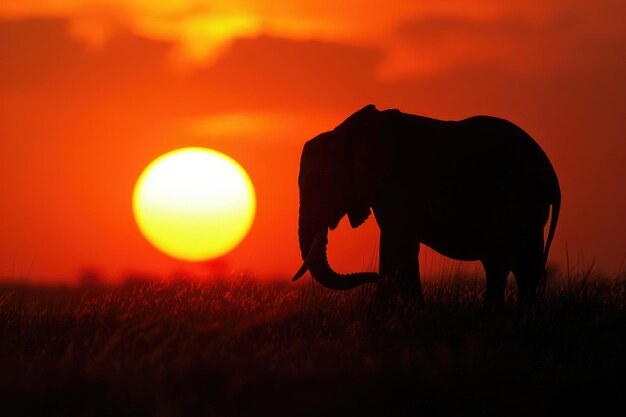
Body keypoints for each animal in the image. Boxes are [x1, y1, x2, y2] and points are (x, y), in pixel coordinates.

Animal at [292, 104, 560, 306]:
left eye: (319, 182)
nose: (373, 277)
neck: (348, 133)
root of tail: (551, 176)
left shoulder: (401, 184)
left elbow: (398, 243)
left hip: (515, 200)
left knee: (498, 262)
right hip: (529, 207)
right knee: (524, 266)